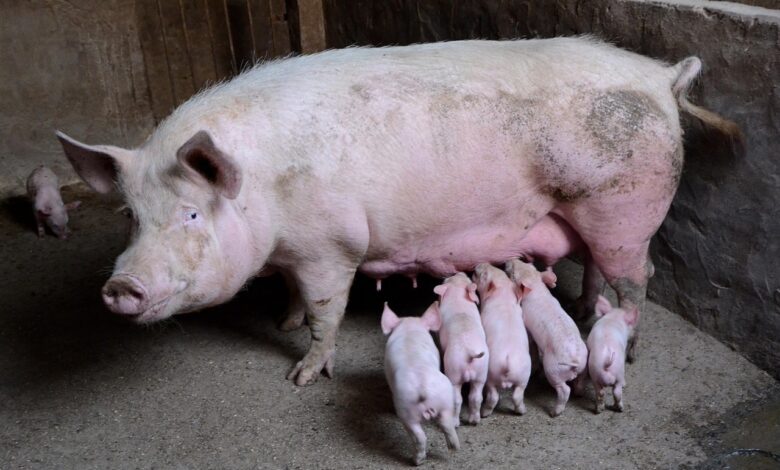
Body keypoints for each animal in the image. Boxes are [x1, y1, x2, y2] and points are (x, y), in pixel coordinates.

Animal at [57, 37, 741, 385]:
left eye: (192, 215)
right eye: (130, 216)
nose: (119, 286)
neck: (264, 195)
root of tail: (662, 76)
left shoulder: (330, 246)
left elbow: (325, 312)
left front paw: (302, 374)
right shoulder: (291, 253)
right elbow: (293, 296)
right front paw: (280, 320)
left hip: (624, 206)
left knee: (637, 280)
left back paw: (628, 346)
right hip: (598, 218)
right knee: (602, 270)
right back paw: (581, 309)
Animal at [382, 302, 460, 465]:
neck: (409, 328)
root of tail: (423, 389)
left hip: (406, 410)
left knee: (419, 437)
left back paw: (416, 461)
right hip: (444, 400)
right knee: (447, 425)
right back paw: (454, 448)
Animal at [434, 273, 489, 425]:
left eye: (446, 280)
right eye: (468, 279)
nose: (459, 272)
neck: (458, 293)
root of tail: (469, 353)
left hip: (454, 372)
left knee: (457, 399)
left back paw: (456, 423)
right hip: (481, 372)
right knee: (476, 397)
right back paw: (474, 421)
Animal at [472, 263, 532, 417]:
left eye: (485, 275)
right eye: (500, 271)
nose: (479, 264)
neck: (503, 295)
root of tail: (508, 362)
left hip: (491, 374)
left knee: (493, 396)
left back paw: (484, 414)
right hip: (523, 375)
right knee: (517, 395)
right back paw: (522, 411)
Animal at [505, 259, 587, 417]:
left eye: (513, 273)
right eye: (529, 265)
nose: (510, 259)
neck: (536, 286)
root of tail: (574, 359)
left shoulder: (527, 324)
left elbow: (532, 344)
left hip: (553, 368)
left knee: (564, 390)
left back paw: (554, 412)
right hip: (583, 364)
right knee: (581, 378)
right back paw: (579, 393)